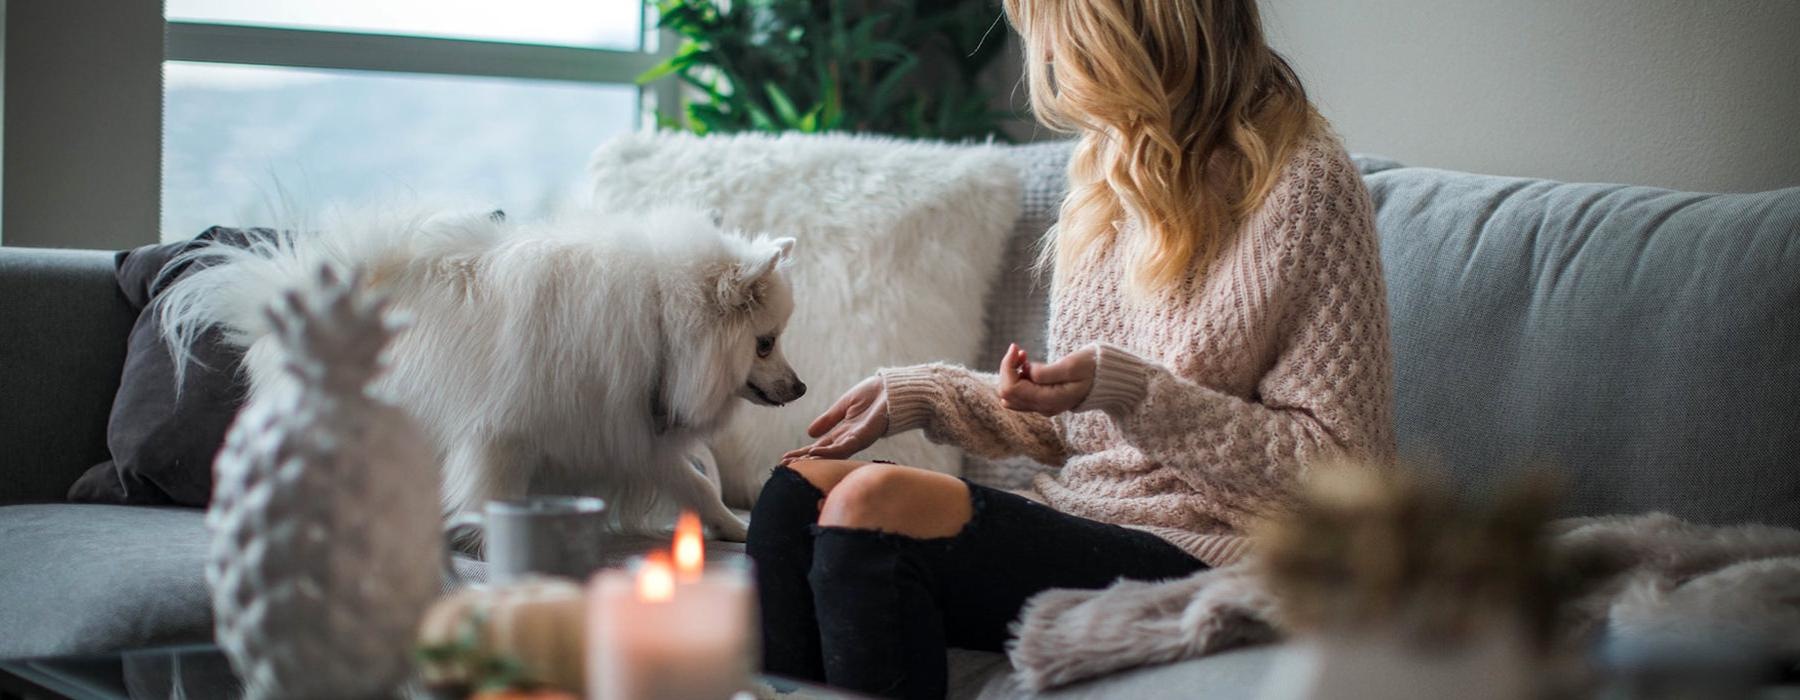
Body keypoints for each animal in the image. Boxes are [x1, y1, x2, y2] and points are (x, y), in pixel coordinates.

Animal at [158, 201, 806, 539]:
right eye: (765, 343)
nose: (801, 387)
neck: (658, 321)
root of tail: (289, 291)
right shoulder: (502, 435)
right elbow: (492, 493)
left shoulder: (623, 431)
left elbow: (696, 485)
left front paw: (735, 528)